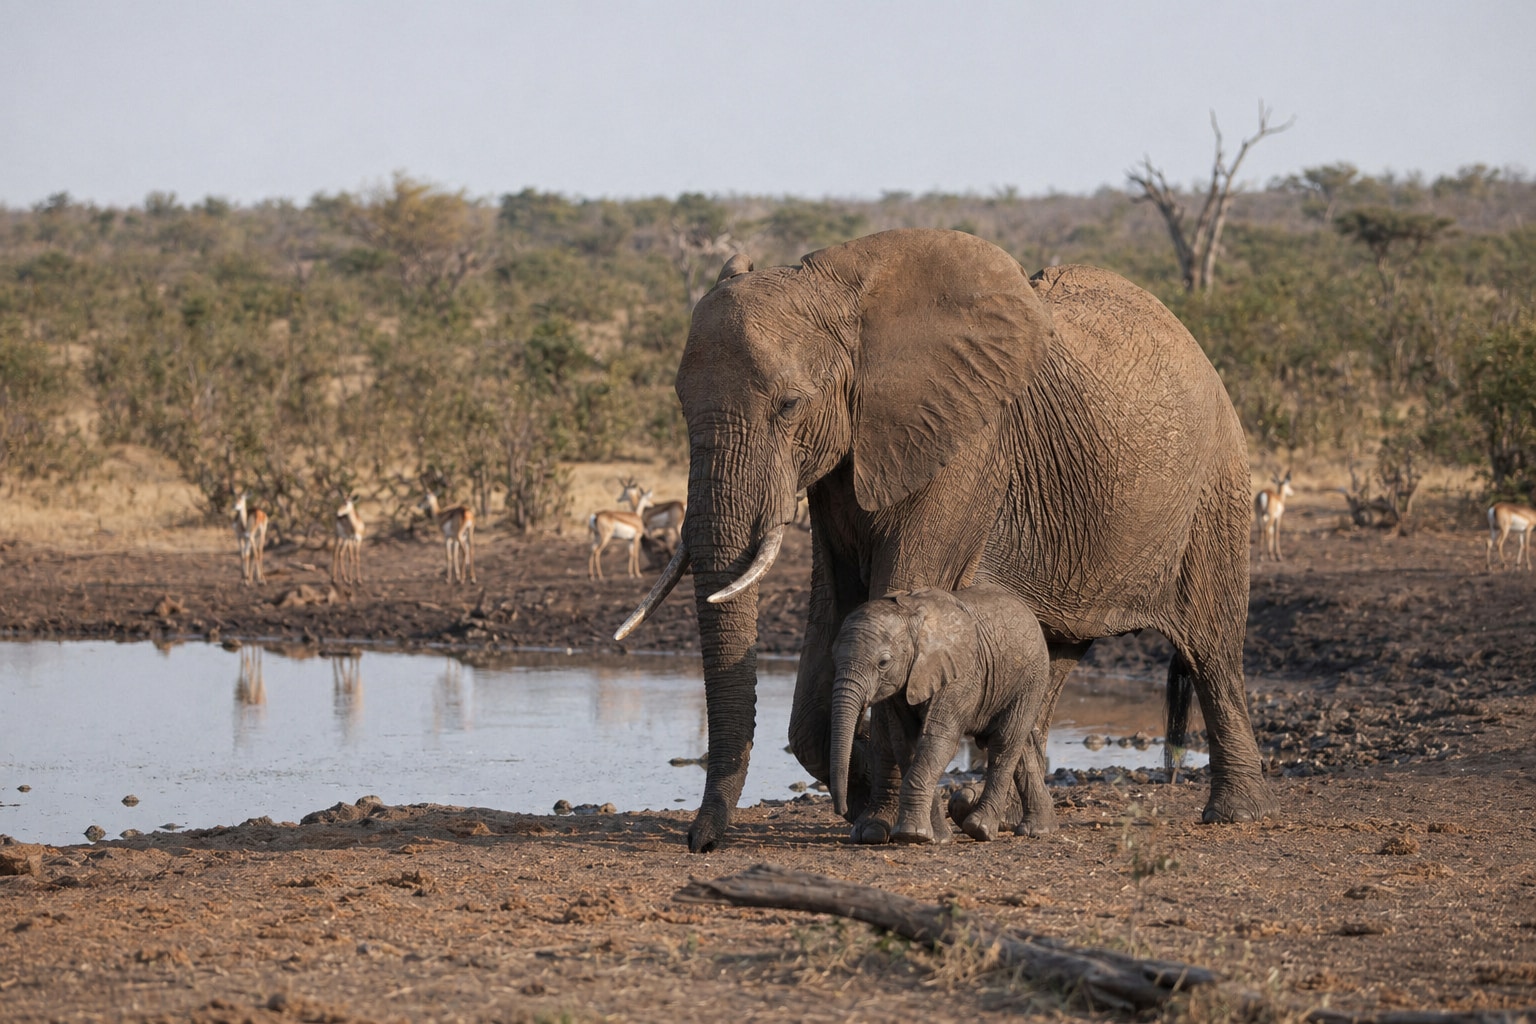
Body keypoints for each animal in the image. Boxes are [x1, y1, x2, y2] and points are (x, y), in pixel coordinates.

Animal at [830, 584, 1053, 844]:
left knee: (1004, 742)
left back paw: (981, 828)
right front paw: (937, 837)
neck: (914, 619)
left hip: (1031, 676)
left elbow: (938, 740)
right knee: (1021, 745)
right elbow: (904, 743)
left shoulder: (961, 675)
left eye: (883, 662)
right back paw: (1038, 829)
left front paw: (912, 835)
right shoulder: (900, 687)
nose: (842, 809)